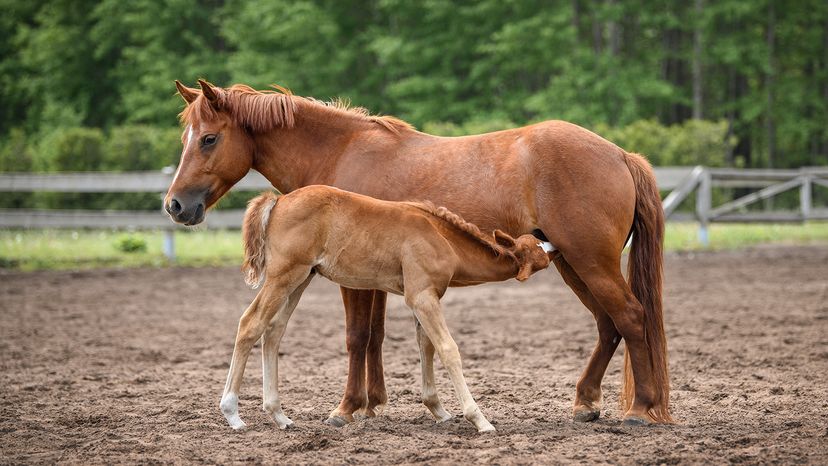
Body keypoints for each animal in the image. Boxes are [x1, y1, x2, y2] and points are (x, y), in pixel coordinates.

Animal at [220, 185, 552, 432]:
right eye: (538, 252)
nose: (550, 242)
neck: (440, 236)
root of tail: (278, 200)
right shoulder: (421, 297)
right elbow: (448, 349)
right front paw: (479, 419)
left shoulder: (425, 296)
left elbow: (426, 345)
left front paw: (439, 411)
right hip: (283, 276)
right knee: (250, 324)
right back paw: (233, 413)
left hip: (300, 279)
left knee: (273, 332)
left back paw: (278, 415)